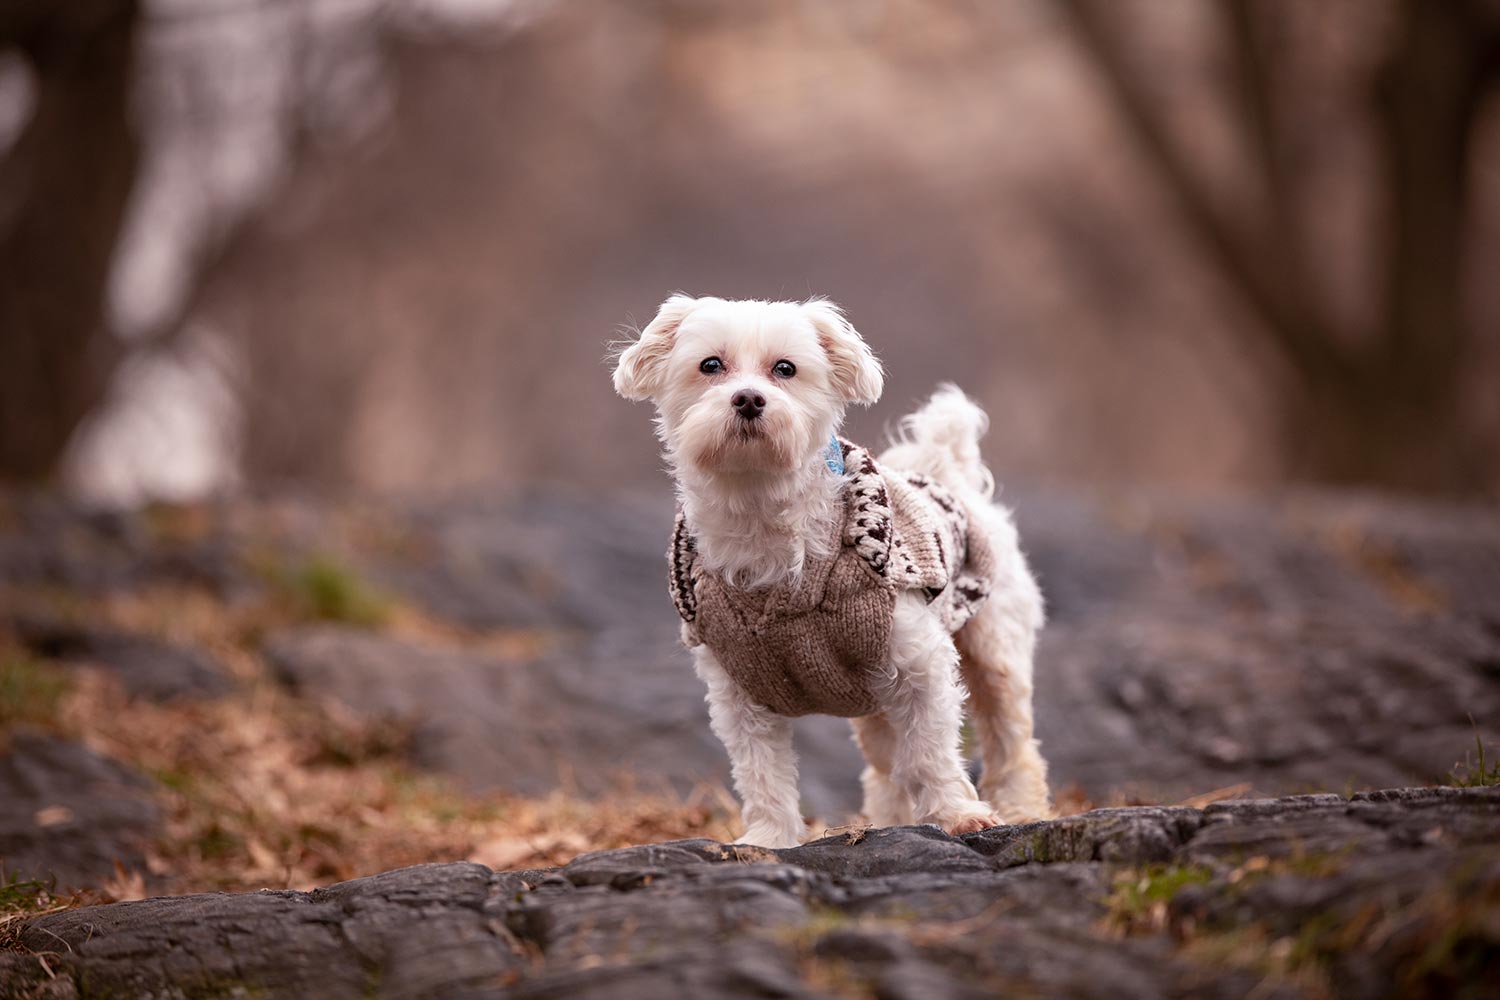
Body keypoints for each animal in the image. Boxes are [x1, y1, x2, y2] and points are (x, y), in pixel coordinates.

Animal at [609, 293, 1056, 851]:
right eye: (710, 365)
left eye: (785, 369)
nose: (749, 399)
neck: (764, 521)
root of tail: (947, 473)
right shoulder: (738, 693)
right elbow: (761, 771)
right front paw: (769, 838)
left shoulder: (920, 665)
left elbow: (931, 750)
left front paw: (958, 814)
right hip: (875, 700)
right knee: (885, 767)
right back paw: (888, 821)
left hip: (996, 651)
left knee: (1010, 739)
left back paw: (1018, 806)